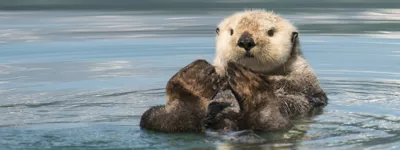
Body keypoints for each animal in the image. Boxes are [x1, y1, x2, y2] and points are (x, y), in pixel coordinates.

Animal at [141, 9, 328, 133]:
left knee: (270, 124)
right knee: (162, 121)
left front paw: (266, 80)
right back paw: (192, 83)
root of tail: (227, 123)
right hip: (154, 116)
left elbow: (295, 87)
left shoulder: (306, 80)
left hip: (277, 123)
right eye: (231, 31)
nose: (246, 40)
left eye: (270, 32)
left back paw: (251, 88)